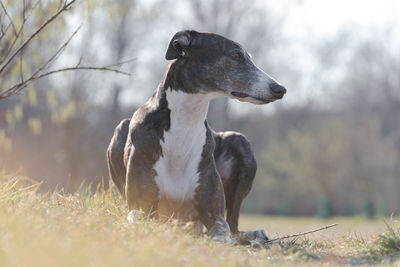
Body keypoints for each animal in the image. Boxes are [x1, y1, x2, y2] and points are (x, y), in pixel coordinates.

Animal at [108, 30, 286, 245]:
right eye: (236, 55)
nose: (280, 89)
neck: (184, 124)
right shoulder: (141, 207)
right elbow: (140, 217)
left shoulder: (214, 213)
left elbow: (222, 230)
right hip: (120, 129)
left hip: (240, 141)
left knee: (234, 225)